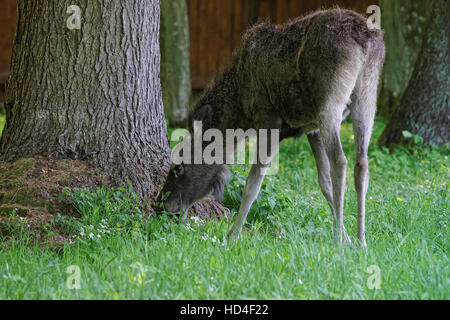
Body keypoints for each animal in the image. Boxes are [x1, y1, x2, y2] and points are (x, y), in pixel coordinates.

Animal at [157, 8, 384, 248]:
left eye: (178, 167)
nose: (164, 205)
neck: (240, 109)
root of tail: (365, 39)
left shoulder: (268, 120)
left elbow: (252, 183)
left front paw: (231, 236)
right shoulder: (310, 128)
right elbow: (323, 182)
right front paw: (347, 237)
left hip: (330, 102)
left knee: (340, 161)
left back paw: (338, 242)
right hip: (367, 96)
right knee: (361, 164)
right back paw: (362, 240)